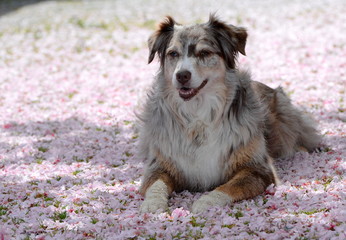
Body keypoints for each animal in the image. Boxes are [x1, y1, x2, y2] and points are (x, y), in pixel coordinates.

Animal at [137, 15, 320, 214]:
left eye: (204, 53)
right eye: (173, 54)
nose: (182, 76)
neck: (198, 114)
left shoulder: (257, 168)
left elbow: (228, 187)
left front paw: (205, 202)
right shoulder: (160, 164)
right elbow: (155, 185)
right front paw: (152, 204)